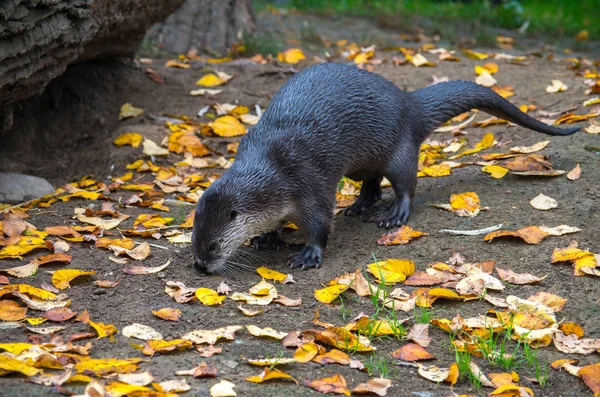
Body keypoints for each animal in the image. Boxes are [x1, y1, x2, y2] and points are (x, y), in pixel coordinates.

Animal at [190, 62, 580, 272]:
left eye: (213, 247)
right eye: (194, 241)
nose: (201, 265)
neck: (272, 169)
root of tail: (410, 103)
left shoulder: (307, 180)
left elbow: (319, 222)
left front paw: (309, 254)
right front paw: (268, 236)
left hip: (399, 146)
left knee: (405, 182)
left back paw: (394, 214)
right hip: (363, 161)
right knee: (372, 180)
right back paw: (360, 205)